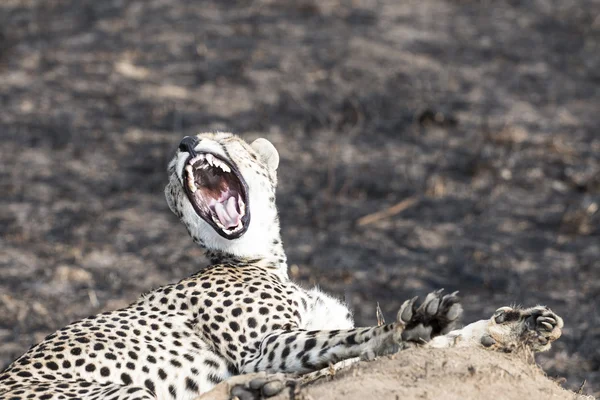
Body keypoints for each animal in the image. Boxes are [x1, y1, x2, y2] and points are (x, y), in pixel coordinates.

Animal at [0, 133, 564, 398]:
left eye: (222, 136)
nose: (186, 142)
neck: (263, 259)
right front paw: (409, 325)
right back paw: (258, 392)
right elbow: (353, 338)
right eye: (172, 163)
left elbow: (433, 345)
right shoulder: (260, 348)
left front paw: (514, 326)